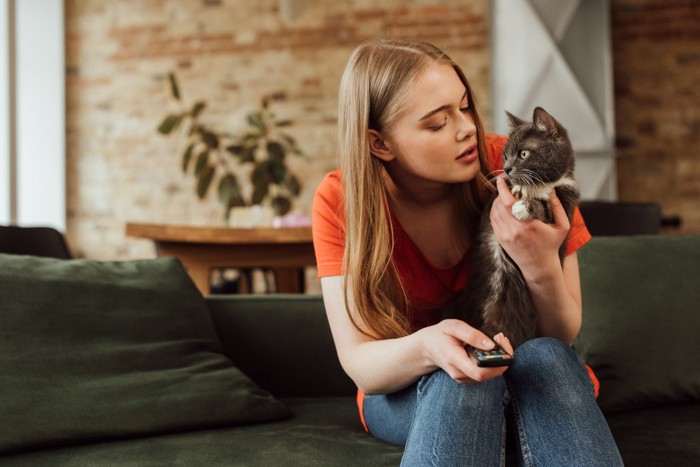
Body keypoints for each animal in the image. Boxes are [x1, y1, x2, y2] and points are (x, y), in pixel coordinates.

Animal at [448, 108, 580, 350]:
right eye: (505, 155)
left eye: (524, 154)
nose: (507, 168)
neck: (543, 184)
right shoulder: (494, 203)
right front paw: (518, 189)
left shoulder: (566, 203)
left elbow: (545, 210)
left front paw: (525, 206)